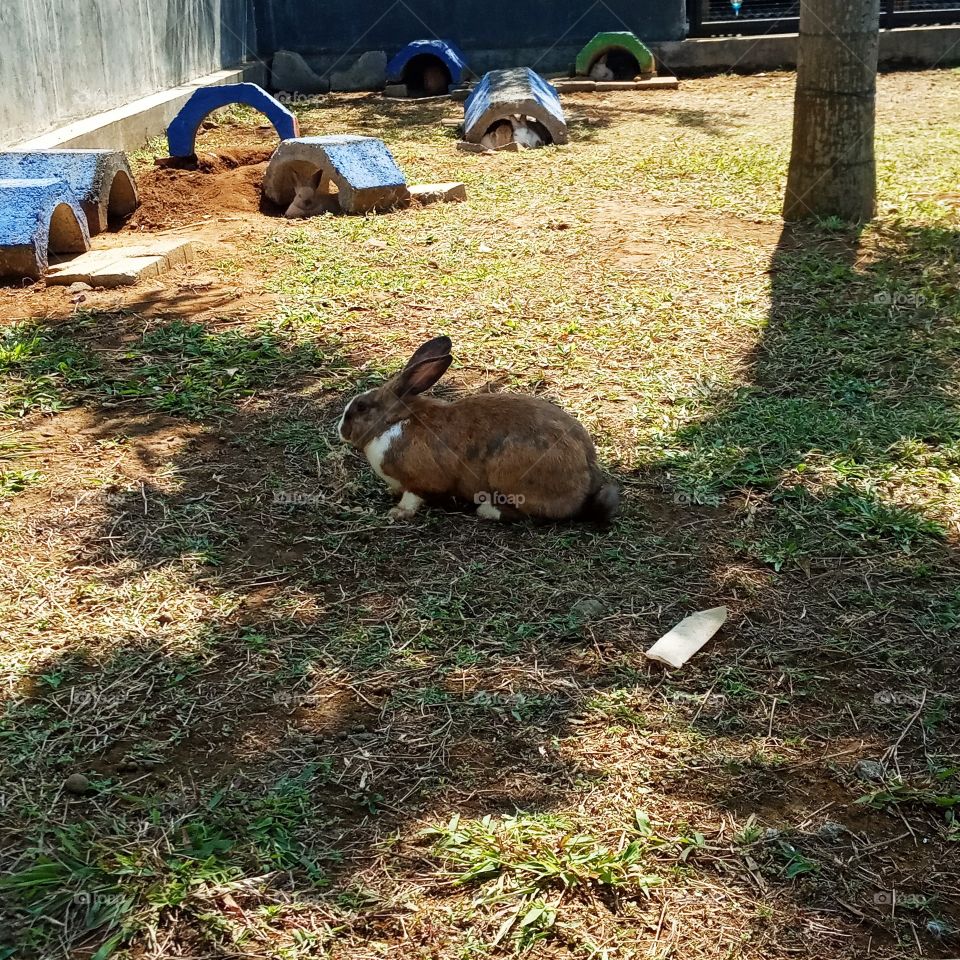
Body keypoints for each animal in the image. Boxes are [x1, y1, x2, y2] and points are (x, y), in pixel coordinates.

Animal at [337, 336, 619, 525]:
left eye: (361, 407)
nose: (340, 429)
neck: (394, 422)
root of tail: (587, 477)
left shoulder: (421, 481)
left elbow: (414, 496)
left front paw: (397, 512)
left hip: (509, 477)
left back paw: (486, 510)